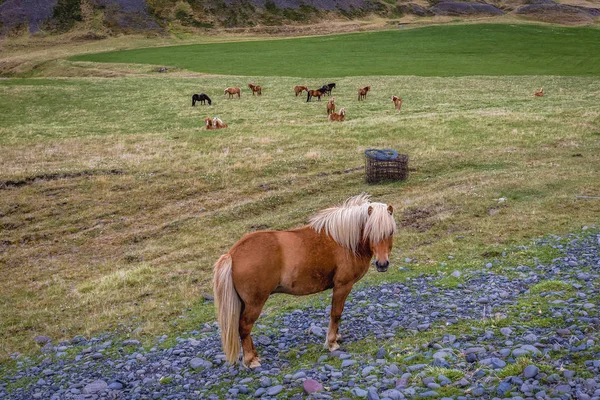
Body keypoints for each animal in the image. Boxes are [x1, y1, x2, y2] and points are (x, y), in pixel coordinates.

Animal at [213, 195, 396, 368]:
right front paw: (332, 342)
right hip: (255, 302)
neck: (344, 241)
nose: (382, 264)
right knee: (244, 326)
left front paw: (337, 336)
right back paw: (251, 360)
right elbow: (336, 313)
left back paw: (255, 355)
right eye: (371, 231)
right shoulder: (342, 286)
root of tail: (232, 254)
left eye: (390, 232)